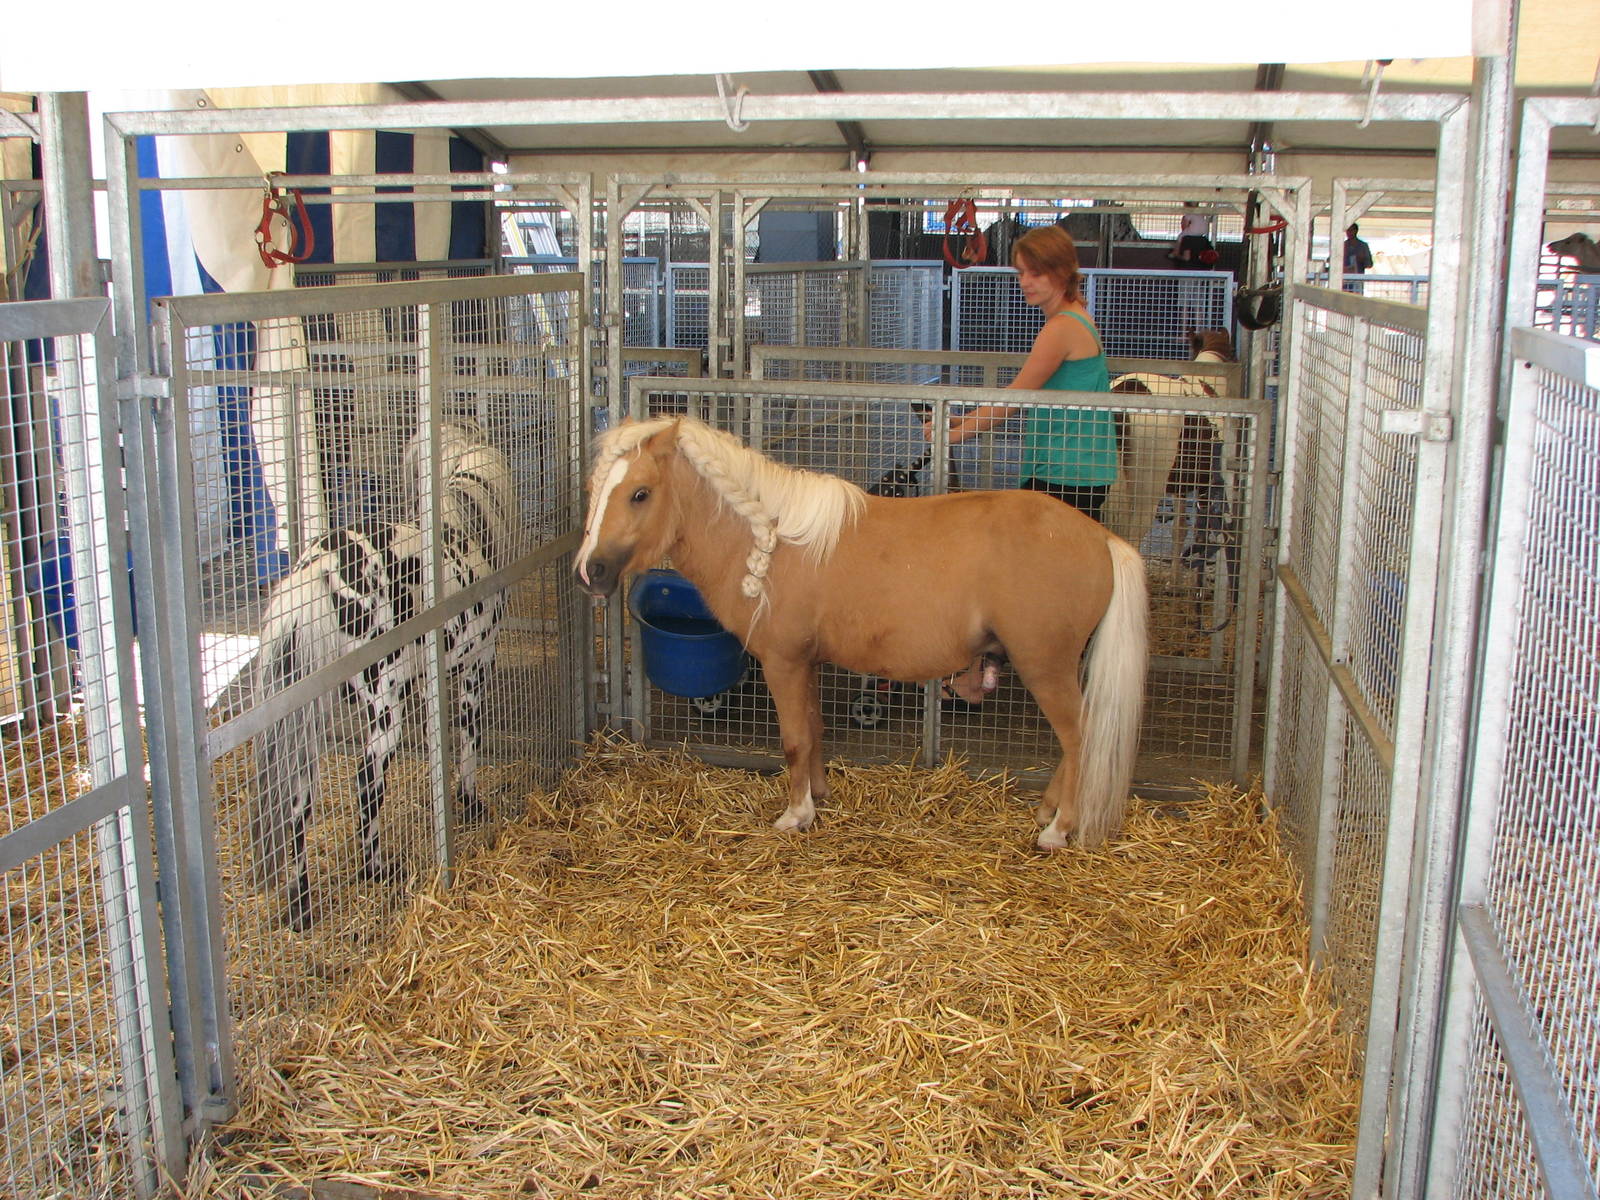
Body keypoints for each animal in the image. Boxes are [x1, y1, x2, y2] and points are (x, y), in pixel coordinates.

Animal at [251, 418, 516, 929]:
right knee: (366, 782)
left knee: (296, 803)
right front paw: (471, 802)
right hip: (383, 712)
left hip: (306, 719)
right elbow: (468, 739)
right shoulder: (476, 668)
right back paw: (374, 867)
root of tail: (318, 569)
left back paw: (300, 906)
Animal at [574, 416, 1148, 851]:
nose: (590, 572)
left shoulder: (782, 661)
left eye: (640, 493)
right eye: (595, 491)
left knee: (1080, 737)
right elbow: (813, 730)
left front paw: (795, 814)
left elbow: (793, 739)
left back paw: (1058, 829)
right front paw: (819, 795)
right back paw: (1047, 811)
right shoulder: (805, 662)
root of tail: (1101, 538)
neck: (770, 541)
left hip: (1044, 666)